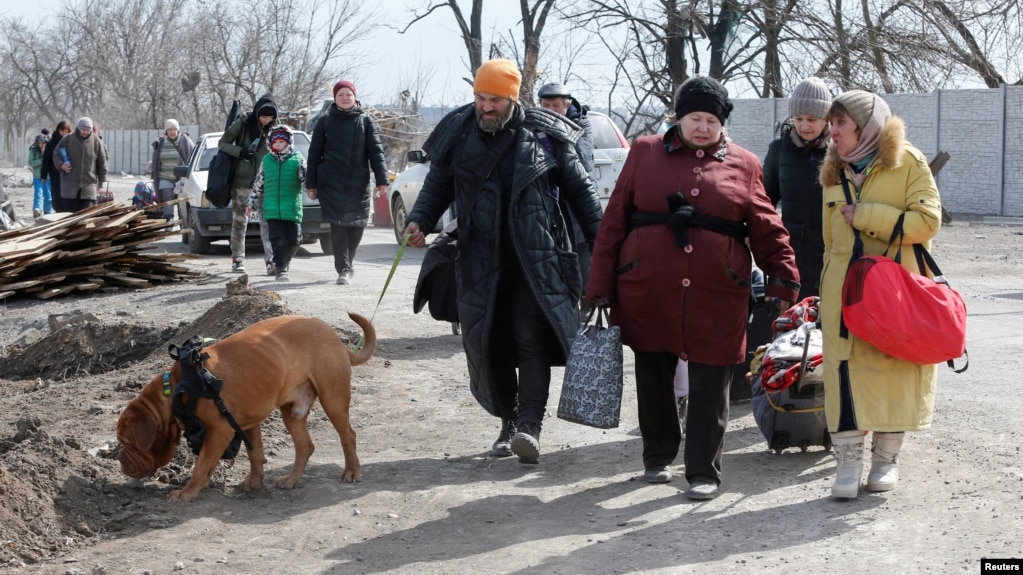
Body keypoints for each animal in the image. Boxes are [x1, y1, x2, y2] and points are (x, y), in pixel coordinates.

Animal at [117, 311, 376, 499]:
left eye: (126, 442)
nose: (119, 461)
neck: (177, 386)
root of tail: (334, 337)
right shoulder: (246, 423)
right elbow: (255, 454)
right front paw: (254, 480)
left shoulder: (219, 432)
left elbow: (201, 467)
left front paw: (187, 493)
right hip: (292, 411)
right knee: (305, 446)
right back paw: (291, 480)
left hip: (333, 399)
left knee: (348, 435)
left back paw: (352, 471)